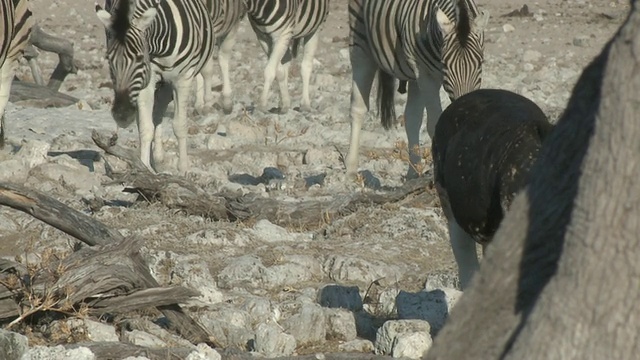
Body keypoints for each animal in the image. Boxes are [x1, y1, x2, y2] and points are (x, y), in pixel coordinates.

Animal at [95, 0, 215, 173]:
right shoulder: (147, 80)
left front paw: (183, 169)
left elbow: (179, 125)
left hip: (168, 84)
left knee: (159, 112)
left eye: (139, 58)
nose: (122, 115)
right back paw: (155, 159)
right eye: (109, 58)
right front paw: (144, 167)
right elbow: (146, 128)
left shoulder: (183, 78)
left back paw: (159, 158)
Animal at [344, 0, 490, 180]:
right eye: (445, 64)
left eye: (480, 62)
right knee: (358, 108)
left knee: (412, 118)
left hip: (413, 75)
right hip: (360, 41)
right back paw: (351, 168)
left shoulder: (421, 73)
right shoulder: (425, 75)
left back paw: (414, 171)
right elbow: (434, 124)